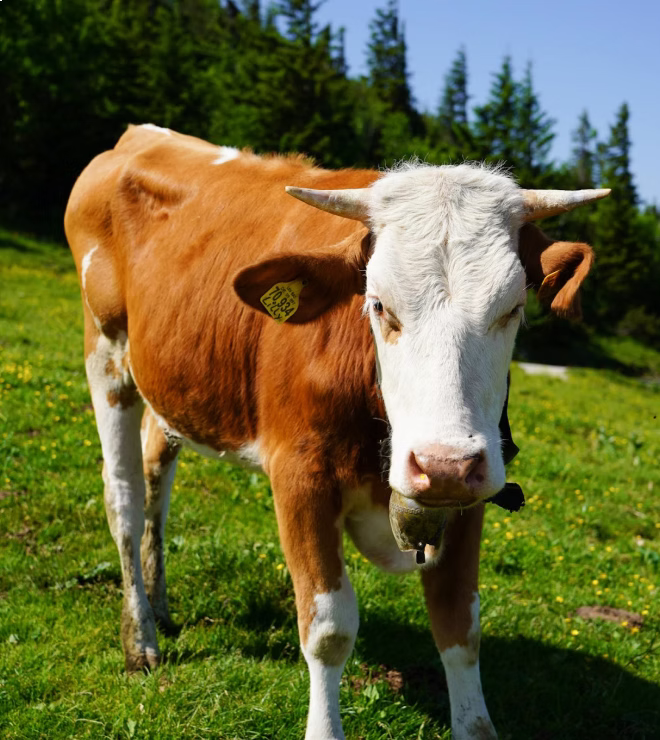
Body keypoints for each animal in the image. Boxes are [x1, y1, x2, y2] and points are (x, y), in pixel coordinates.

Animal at [64, 124, 607, 740]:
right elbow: (327, 628)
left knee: (158, 483)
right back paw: (140, 638)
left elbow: (459, 626)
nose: (443, 464)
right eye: (378, 305)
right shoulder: (300, 476)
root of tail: (139, 136)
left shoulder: (475, 488)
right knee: (125, 499)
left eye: (513, 309)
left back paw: (158, 605)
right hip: (106, 354)